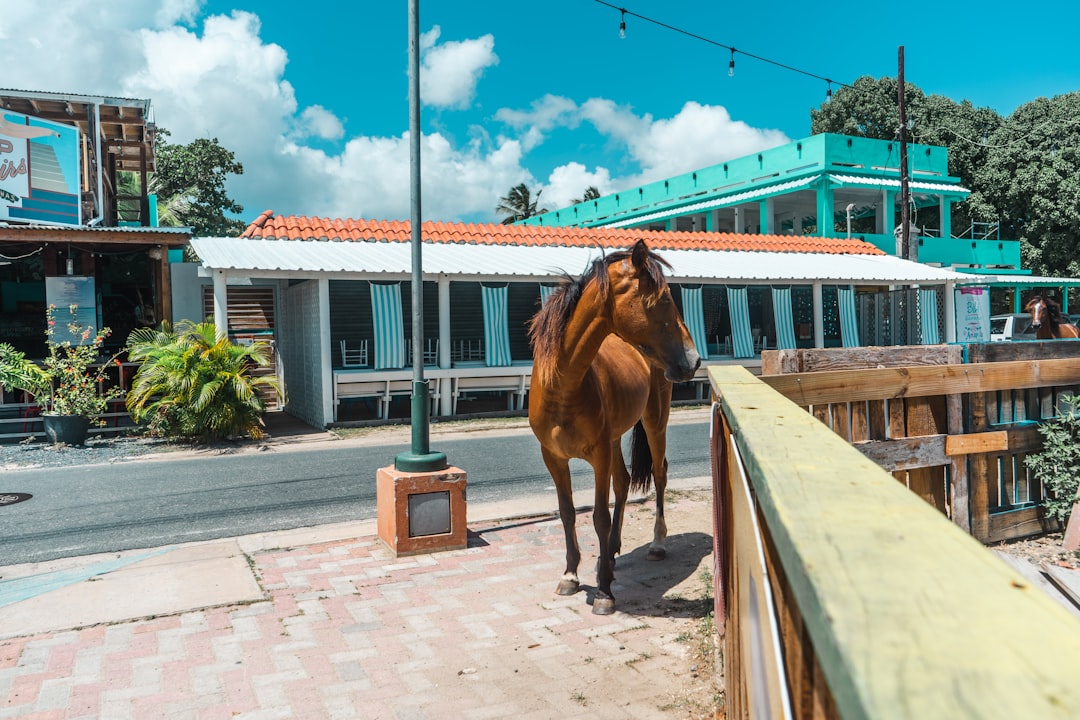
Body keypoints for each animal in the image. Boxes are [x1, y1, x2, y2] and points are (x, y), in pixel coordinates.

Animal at [529, 240, 699, 613]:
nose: (693, 360)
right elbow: (567, 513)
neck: (564, 385)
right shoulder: (553, 458)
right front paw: (571, 575)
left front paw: (605, 592)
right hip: (616, 437)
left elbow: (598, 516)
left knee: (660, 475)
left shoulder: (599, 456)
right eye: (662, 300)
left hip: (654, 422)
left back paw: (655, 545)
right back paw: (612, 552)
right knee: (623, 483)